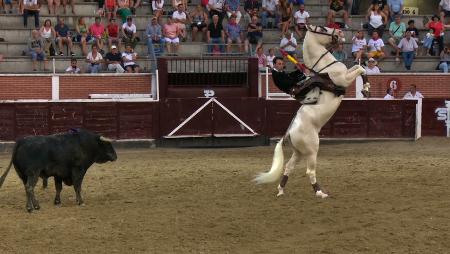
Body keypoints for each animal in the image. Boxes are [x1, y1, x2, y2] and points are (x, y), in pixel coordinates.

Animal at [253, 24, 370, 197]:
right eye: (322, 28)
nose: (340, 32)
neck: (324, 67)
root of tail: (289, 133)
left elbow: (358, 67)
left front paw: (366, 89)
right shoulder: (344, 79)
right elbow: (361, 68)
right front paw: (366, 88)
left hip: (299, 152)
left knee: (289, 166)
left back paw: (281, 190)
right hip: (312, 150)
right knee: (309, 171)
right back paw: (320, 193)